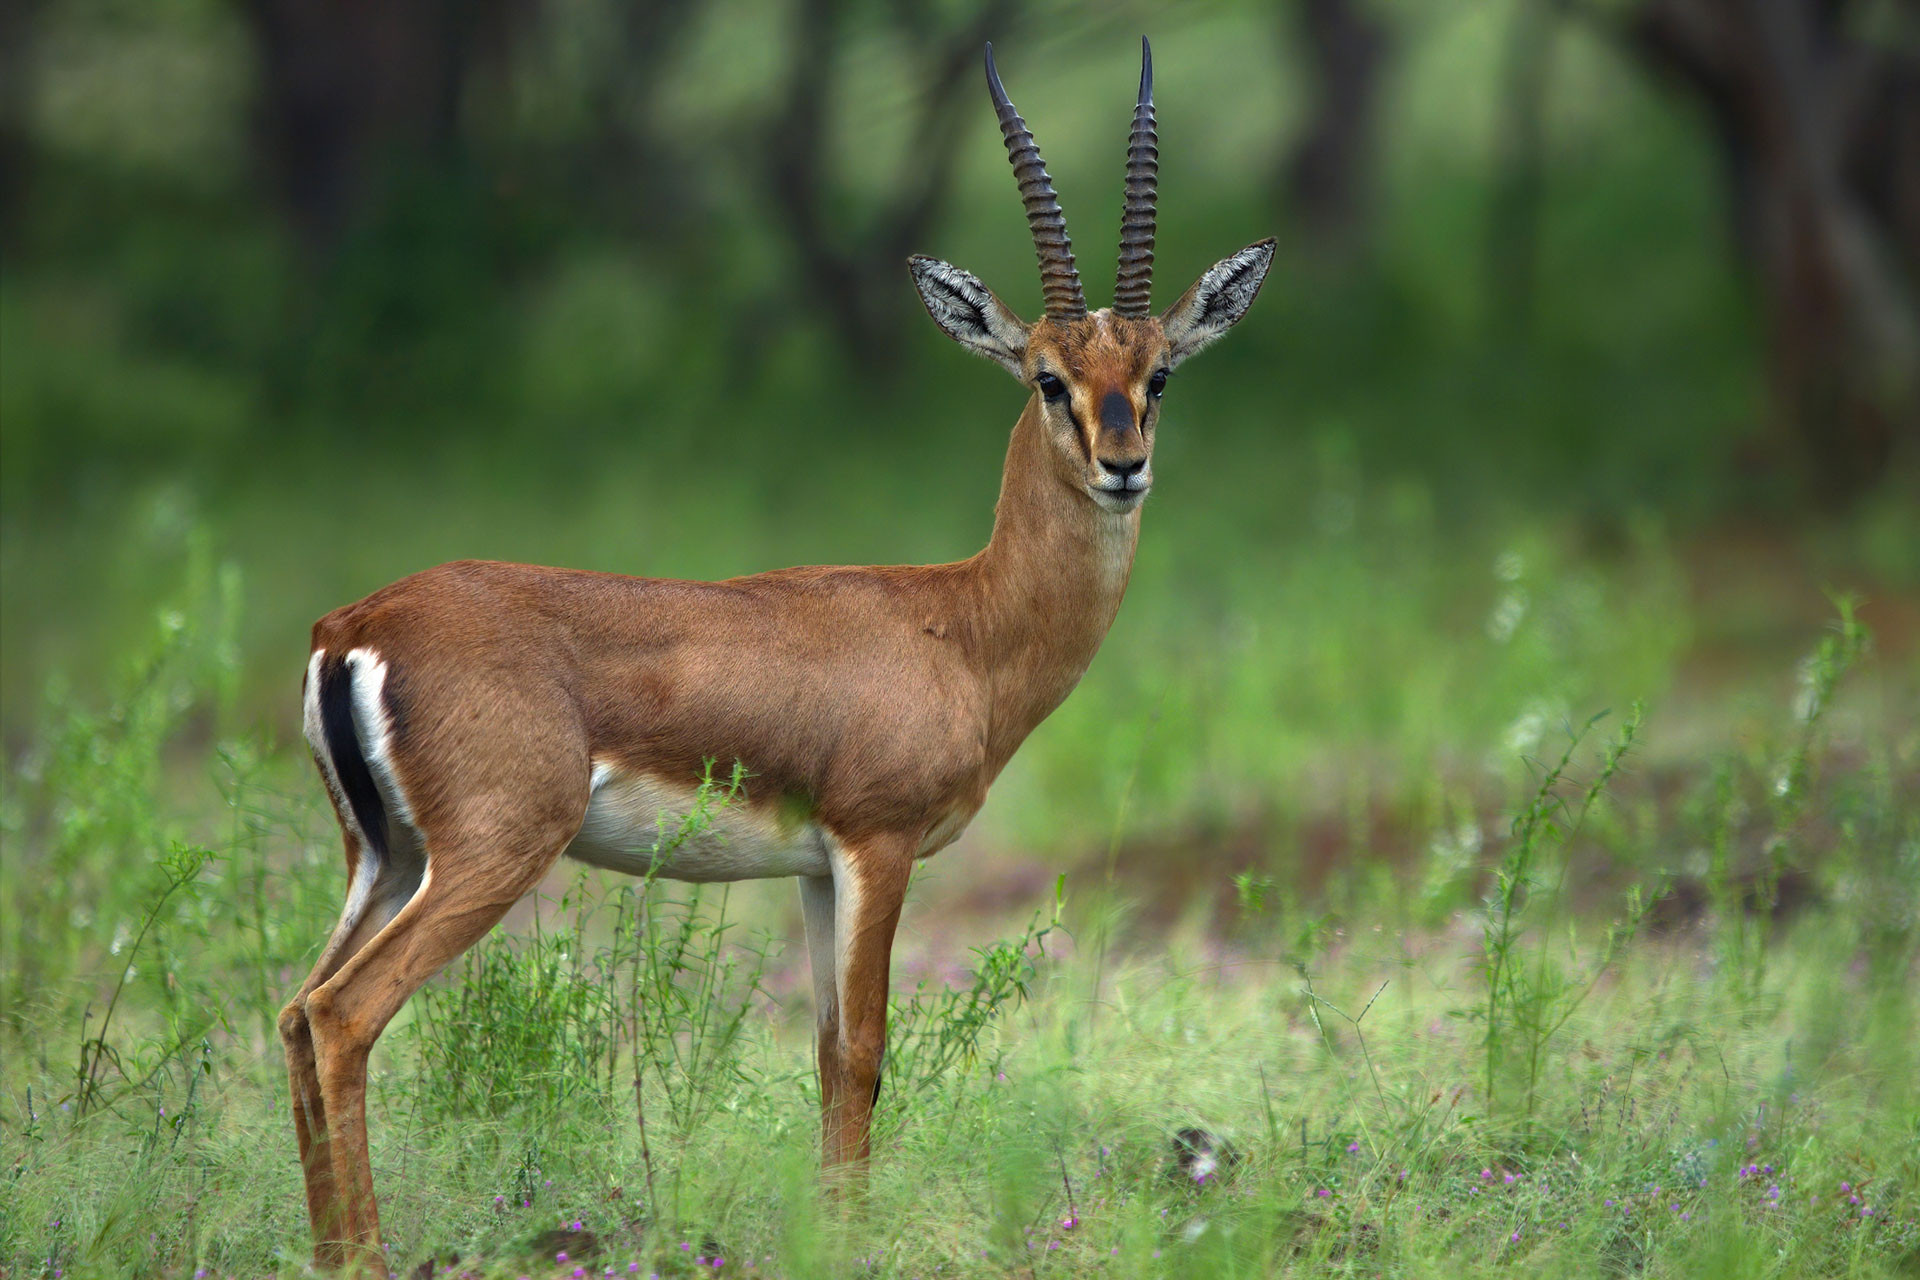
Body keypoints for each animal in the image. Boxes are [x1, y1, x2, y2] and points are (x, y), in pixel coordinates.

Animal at [284, 37, 1267, 1274]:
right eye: (1047, 375)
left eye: (1159, 373)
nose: (1123, 464)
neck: (963, 625)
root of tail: (351, 626)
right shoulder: (878, 844)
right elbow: (866, 1054)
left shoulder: (811, 868)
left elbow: (824, 1055)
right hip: (487, 854)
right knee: (342, 1015)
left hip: (385, 857)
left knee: (293, 1011)